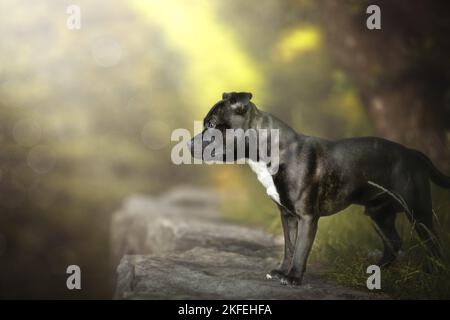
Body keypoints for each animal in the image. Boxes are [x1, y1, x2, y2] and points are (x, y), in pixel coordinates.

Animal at [188, 92, 448, 284]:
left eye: (212, 125)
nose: (189, 144)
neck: (271, 150)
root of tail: (414, 153)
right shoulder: (288, 216)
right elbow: (289, 246)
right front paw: (282, 271)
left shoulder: (306, 216)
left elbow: (301, 248)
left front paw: (293, 277)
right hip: (379, 214)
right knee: (393, 243)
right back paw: (375, 271)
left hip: (417, 212)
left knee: (433, 244)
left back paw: (432, 274)